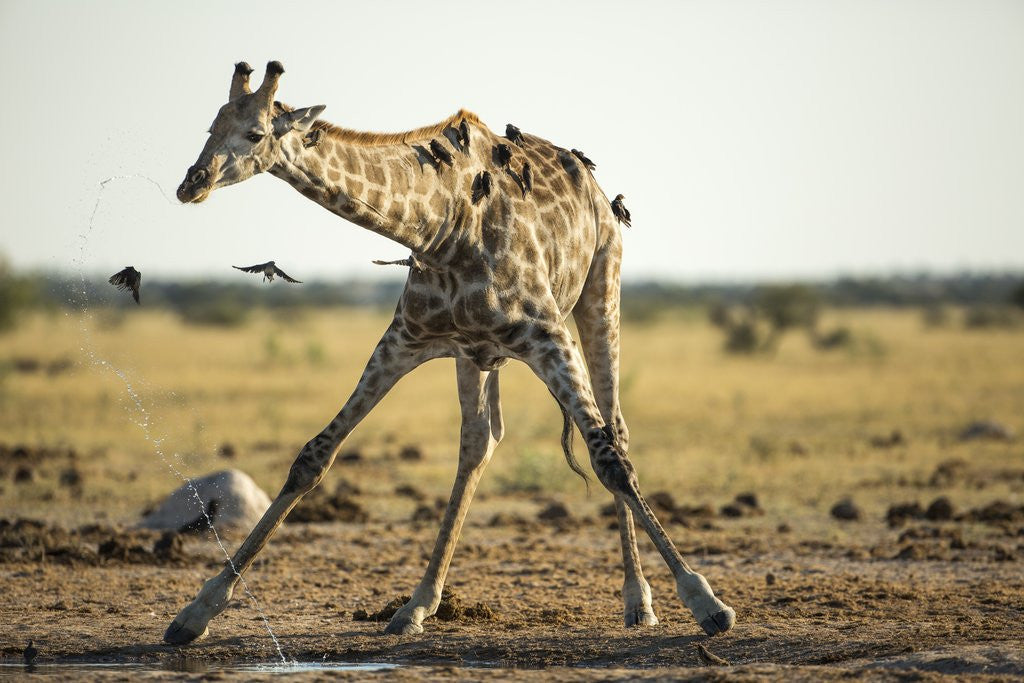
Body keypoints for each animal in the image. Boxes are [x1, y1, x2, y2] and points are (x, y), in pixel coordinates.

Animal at [164, 61, 735, 645]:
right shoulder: (403, 339)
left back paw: (638, 600)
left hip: (601, 290)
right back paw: (417, 604)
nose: (192, 183)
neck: (439, 229)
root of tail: (595, 186)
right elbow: (313, 456)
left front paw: (706, 601)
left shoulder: (546, 334)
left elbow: (609, 460)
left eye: (255, 133)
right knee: (480, 441)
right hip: (476, 355)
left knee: (614, 430)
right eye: (211, 124)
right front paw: (197, 610)